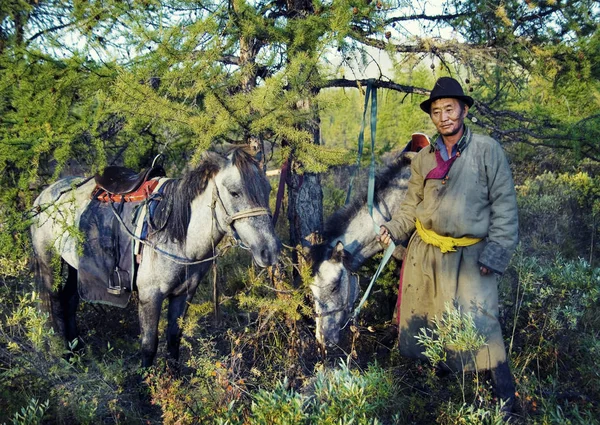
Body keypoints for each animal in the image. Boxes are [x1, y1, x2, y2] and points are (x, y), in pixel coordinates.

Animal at [28, 147, 282, 366]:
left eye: (268, 190)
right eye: (234, 192)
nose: (269, 251)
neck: (179, 237)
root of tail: (45, 195)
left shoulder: (183, 294)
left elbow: (173, 340)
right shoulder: (150, 296)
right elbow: (149, 346)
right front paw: (146, 385)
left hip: (75, 267)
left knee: (69, 300)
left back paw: (76, 353)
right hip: (48, 262)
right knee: (52, 304)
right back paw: (62, 352)